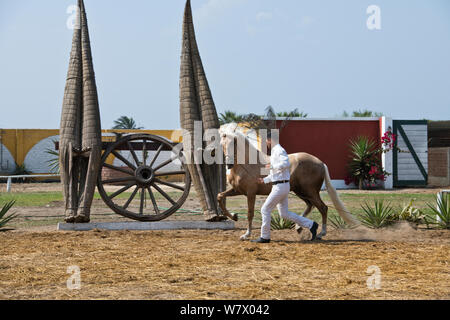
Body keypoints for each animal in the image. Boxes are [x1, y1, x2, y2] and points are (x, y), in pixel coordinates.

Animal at [218, 124, 358, 240]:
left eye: (234, 144)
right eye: (222, 145)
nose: (229, 164)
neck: (246, 166)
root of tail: (321, 163)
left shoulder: (251, 193)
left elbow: (250, 213)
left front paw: (246, 235)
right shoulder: (237, 190)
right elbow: (220, 196)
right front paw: (234, 216)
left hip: (310, 192)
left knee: (323, 208)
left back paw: (320, 233)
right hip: (301, 192)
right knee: (310, 206)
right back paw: (299, 227)